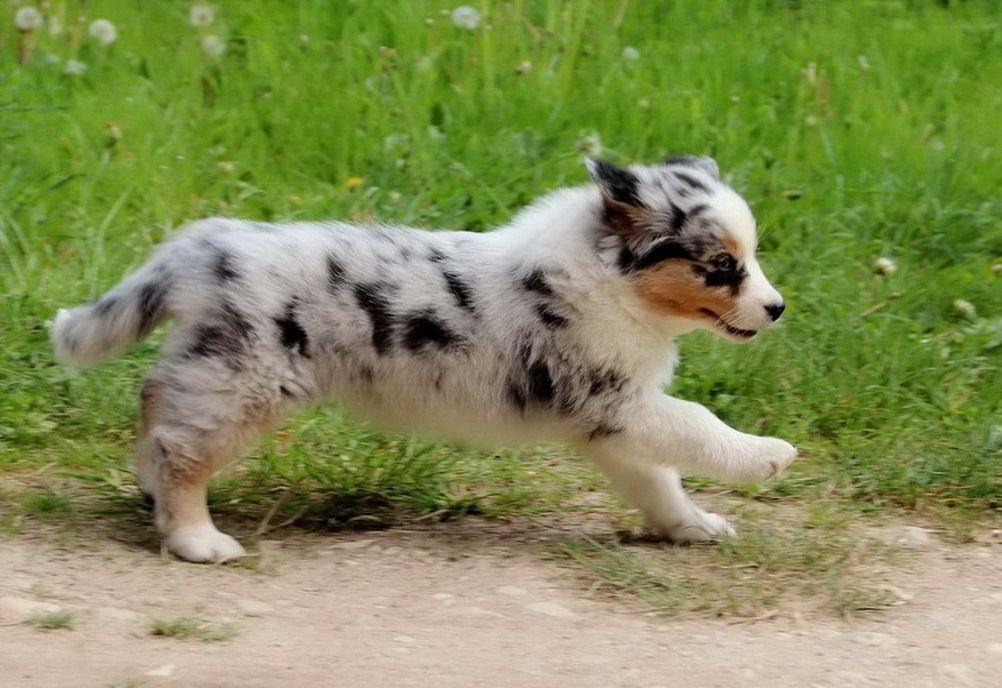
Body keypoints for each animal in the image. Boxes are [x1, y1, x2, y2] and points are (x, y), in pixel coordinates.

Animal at [51, 156, 797, 563]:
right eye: (722, 266)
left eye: (750, 258)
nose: (777, 307)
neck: (607, 277)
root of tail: (206, 246)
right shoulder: (616, 400)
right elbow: (696, 423)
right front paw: (765, 455)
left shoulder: (611, 422)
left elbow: (658, 479)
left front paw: (691, 526)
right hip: (248, 380)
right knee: (182, 447)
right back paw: (195, 538)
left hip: (214, 363)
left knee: (156, 399)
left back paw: (150, 488)